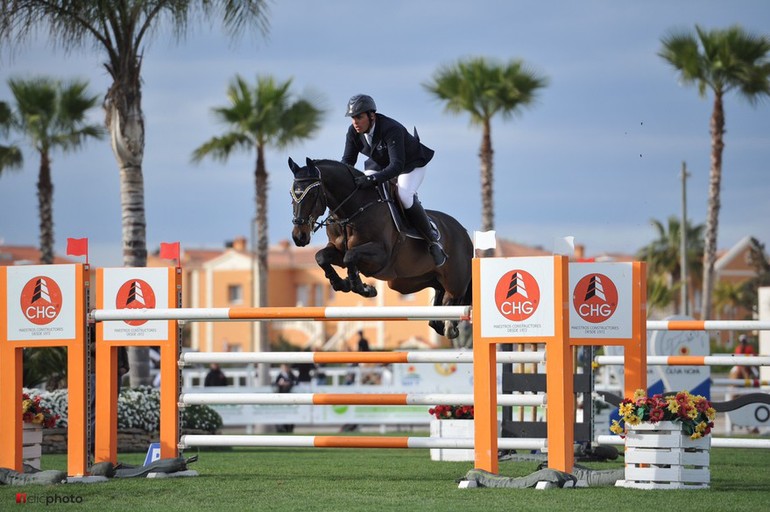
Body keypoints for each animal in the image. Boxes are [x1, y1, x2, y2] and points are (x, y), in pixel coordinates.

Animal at [286, 157, 472, 340]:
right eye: (291, 194)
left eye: (312, 194)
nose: (299, 236)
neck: (350, 212)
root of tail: (464, 232)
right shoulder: (338, 251)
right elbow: (321, 257)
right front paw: (343, 284)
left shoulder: (380, 256)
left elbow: (350, 256)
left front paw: (363, 288)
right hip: (412, 281)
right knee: (438, 299)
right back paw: (441, 323)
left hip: (454, 281)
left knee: (454, 298)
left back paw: (451, 325)